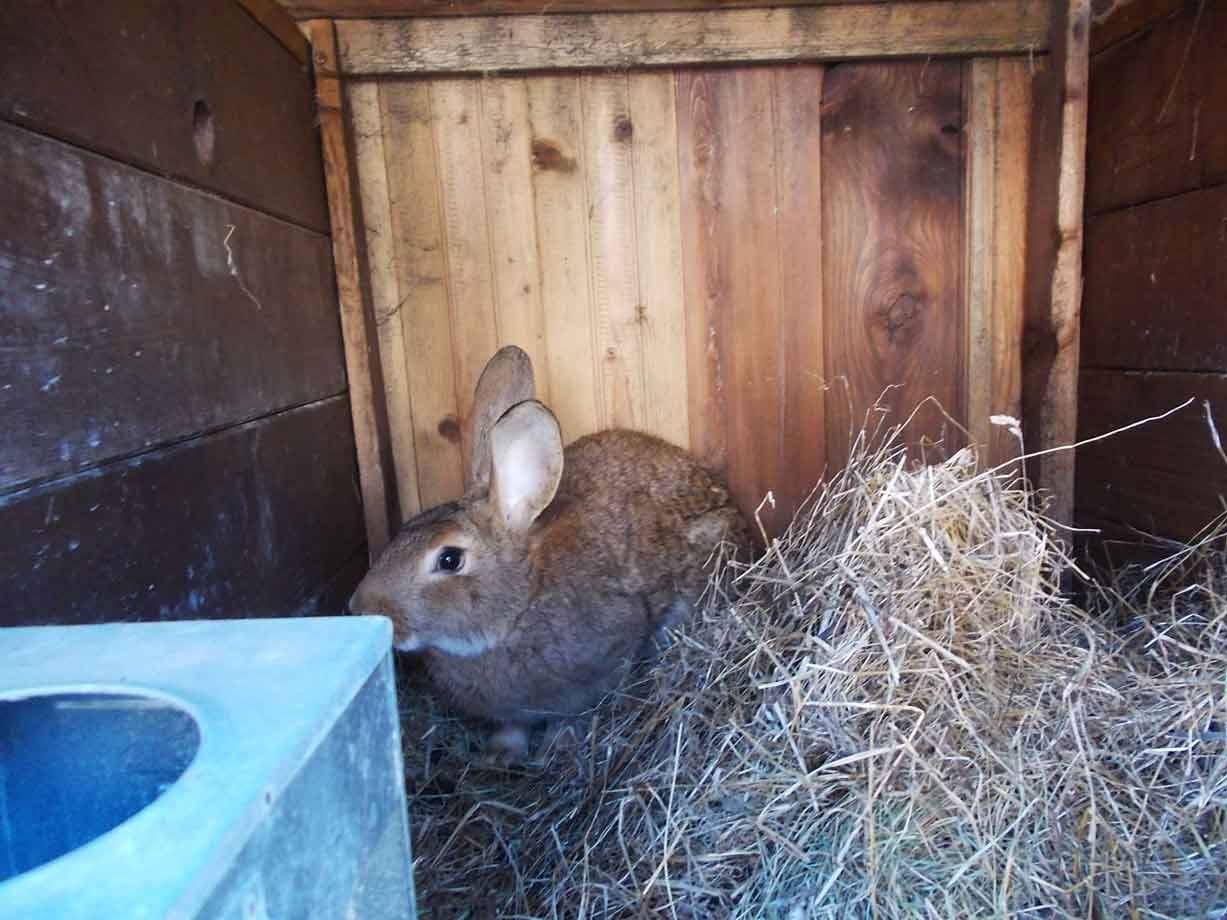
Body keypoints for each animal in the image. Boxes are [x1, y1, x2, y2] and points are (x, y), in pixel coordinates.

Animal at [348, 345, 752, 763]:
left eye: (449, 559)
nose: (359, 608)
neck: (521, 603)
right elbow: (513, 726)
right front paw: (500, 755)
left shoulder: (602, 664)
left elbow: (573, 713)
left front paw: (560, 745)